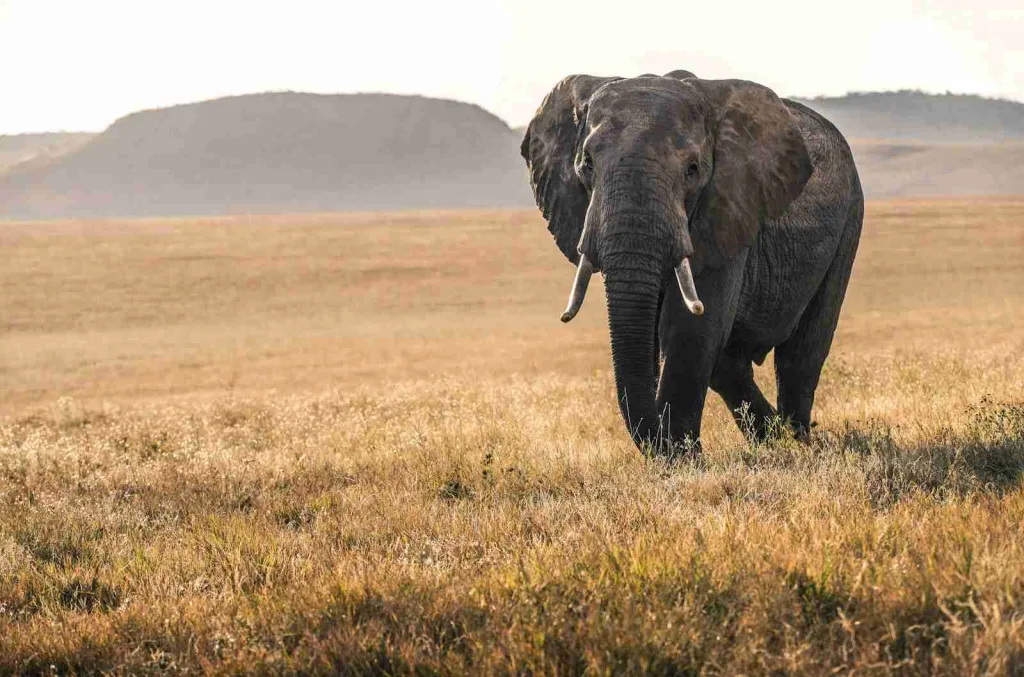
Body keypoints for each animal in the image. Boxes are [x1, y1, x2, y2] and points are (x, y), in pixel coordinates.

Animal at [520, 71, 863, 455]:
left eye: (692, 170)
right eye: (586, 165)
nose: (663, 444)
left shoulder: (728, 207)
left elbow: (688, 329)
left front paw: (682, 459)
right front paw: (678, 454)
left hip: (850, 219)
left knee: (801, 354)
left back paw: (797, 443)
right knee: (731, 363)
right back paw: (773, 441)